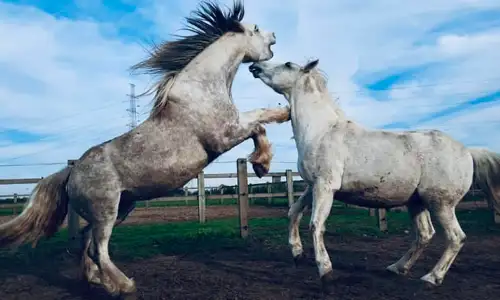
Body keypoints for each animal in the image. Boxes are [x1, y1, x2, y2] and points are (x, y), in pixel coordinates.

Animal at [0, 1, 292, 298]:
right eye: (256, 28)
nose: (275, 36)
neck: (200, 90)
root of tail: (71, 173)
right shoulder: (225, 134)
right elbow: (258, 121)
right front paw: (264, 159)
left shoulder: (231, 128)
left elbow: (260, 120)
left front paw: (269, 146)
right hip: (106, 212)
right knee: (99, 250)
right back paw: (124, 285)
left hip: (120, 208)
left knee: (87, 242)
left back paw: (95, 280)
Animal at [249, 58, 500, 292]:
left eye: (288, 64)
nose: (254, 67)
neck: (322, 131)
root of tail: (468, 151)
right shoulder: (313, 186)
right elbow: (293, 212)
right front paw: (297, 253)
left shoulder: (325, 186)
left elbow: (316, 225)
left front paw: (326, 273)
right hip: (417, 203)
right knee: (425, 235)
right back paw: (397, 268)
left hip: (441, 203)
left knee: (456, 237)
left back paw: (431, 278)